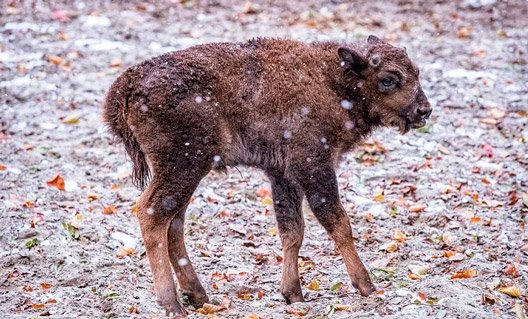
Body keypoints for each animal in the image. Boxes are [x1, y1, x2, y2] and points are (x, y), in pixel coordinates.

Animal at [102, 35, 428, 316]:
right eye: (389, 78)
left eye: (416, 71)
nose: (424, 111)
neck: (335, 81)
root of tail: (125, 88)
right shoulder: (314, 167)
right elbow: (337, 223)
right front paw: (366, 285)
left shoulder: (282, 176)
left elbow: (292, 231)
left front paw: (293, 293)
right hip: (183, 167)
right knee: (152, 214)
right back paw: (172, 304)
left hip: (187, 172)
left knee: (174, 223)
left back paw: (199, 296)